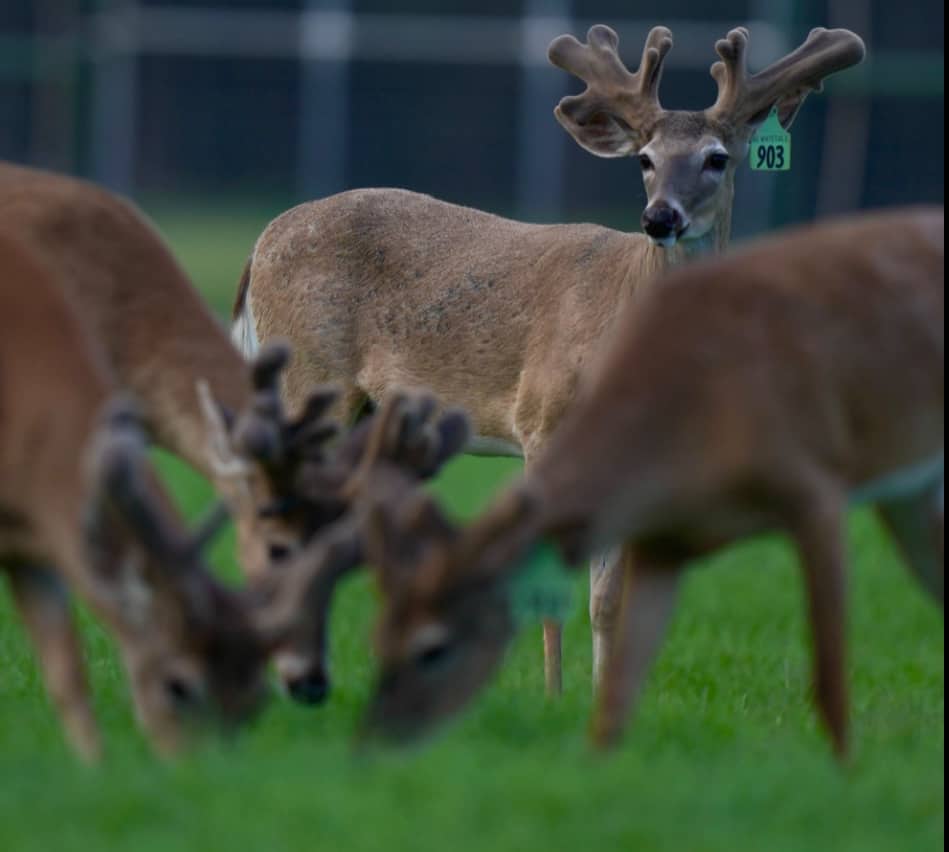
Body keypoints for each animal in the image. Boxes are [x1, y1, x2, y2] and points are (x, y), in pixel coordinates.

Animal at [0, 231, 281, 761]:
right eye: (179, 686)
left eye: (256, 700)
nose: (201, 771)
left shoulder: (34, 541)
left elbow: (66, 670)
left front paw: (95, 766)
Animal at [231, 24, 866, 696]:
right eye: (645, 160)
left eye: (717, 158)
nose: (659, 217)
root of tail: (261, 242)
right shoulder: (541, 422)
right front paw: (552, 695)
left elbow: (608, 595)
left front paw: (601, 694)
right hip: (310, 376)